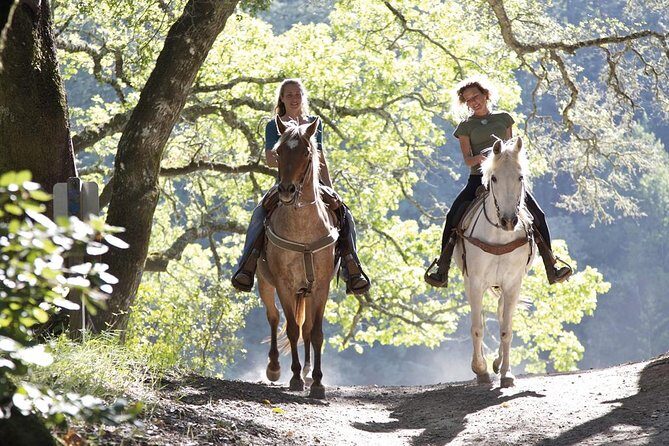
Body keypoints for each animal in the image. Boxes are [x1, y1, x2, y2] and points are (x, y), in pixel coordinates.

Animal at [256, 116, 339, 399]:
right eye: (279, 151)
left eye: (306, 153)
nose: (287, 190)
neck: (303, 230)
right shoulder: (285, 285)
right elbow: (291, 329)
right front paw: (294, 378)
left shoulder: (321, 286)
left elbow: (316, 333)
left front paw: (317, 383)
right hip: (265, 283)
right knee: (273, 317)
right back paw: (274, 367)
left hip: (307, 292)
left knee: (307, 329)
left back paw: (307, 370)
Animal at [453, 137, 536, 387]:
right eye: (494, 178)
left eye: (520, 177)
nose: (509, 221)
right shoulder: (475, 281)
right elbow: (477, 328)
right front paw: (480, 370)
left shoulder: (513, 284)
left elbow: (506, 329)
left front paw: (507, 373)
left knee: (500, 314)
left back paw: (498, 363)